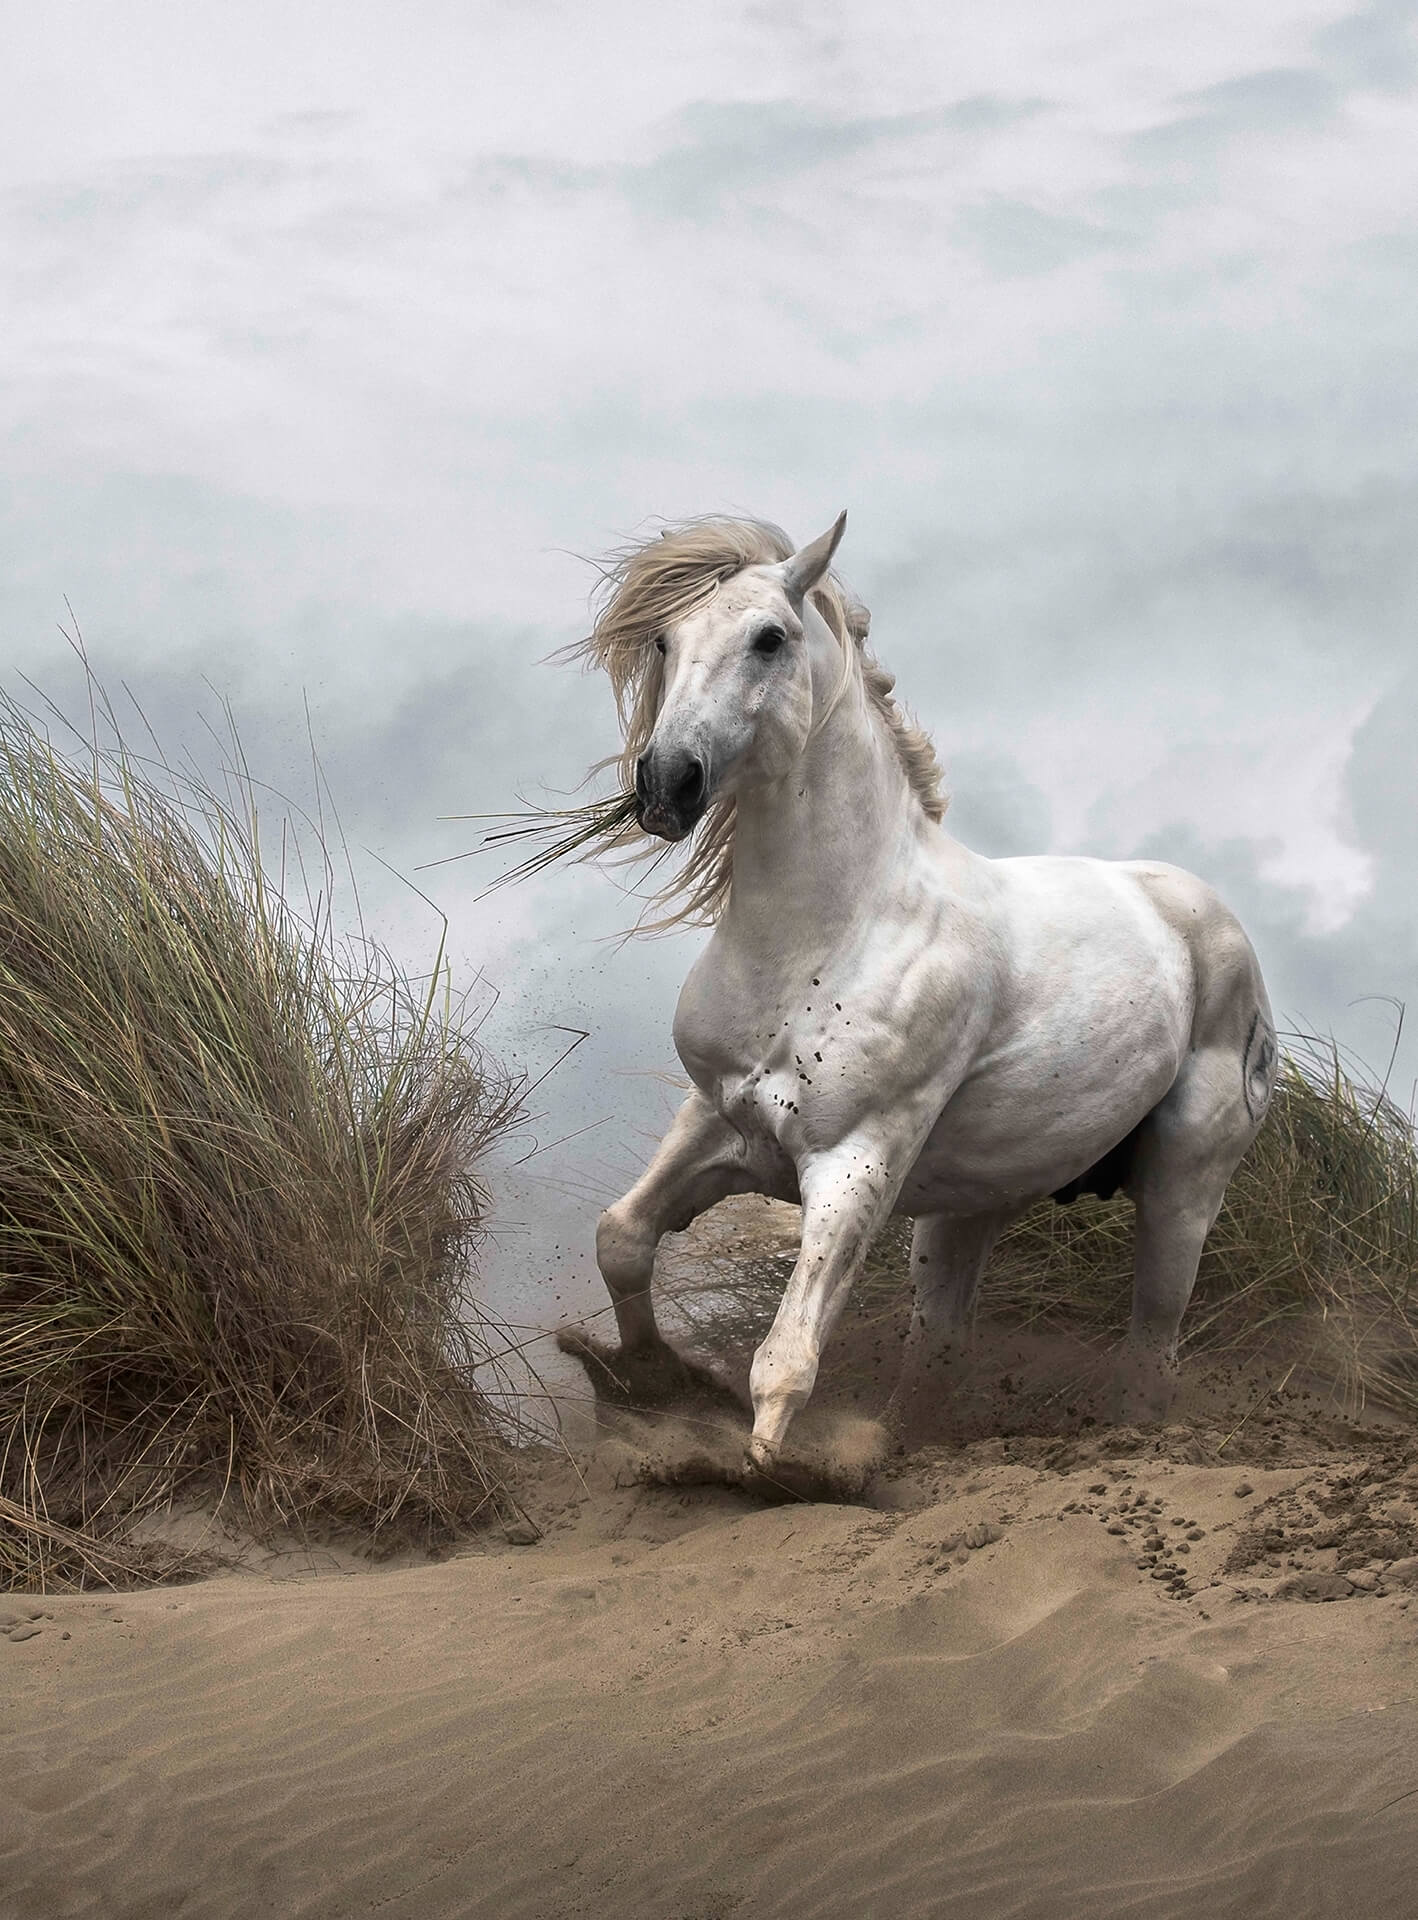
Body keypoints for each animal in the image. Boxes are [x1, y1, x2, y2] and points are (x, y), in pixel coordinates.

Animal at [558, 511, 1277, 1475]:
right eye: (666, 641)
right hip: (966, 1213)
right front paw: (648, 1388)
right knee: (940, 1350)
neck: (835, 926)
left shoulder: (854, 1159)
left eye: (769, 638)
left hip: (1182, 1191)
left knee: (1150, 1349)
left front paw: (763, 1472)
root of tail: (1203, 916)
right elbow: (623, 1241)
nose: (667, 784)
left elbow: (787, 1356)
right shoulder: (717, 1122)